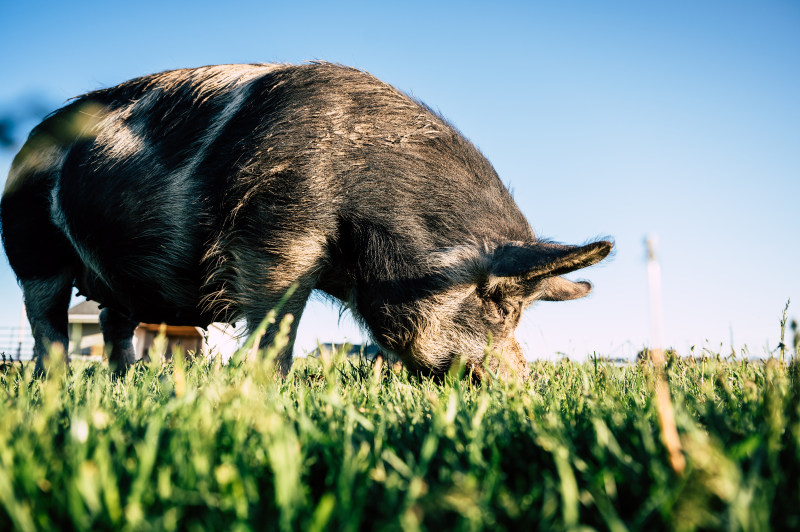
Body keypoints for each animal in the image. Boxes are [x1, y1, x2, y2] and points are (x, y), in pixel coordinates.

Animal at [0, 62, 612, 378]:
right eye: (499, 304)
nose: (519, 383)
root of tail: (30, 143)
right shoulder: (273, 233)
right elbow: (278, 321)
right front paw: (267, 389)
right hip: (30, 247)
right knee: (47, 322)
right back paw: (52, 384)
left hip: (112, 280)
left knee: (114, 321)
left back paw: (128, 382)